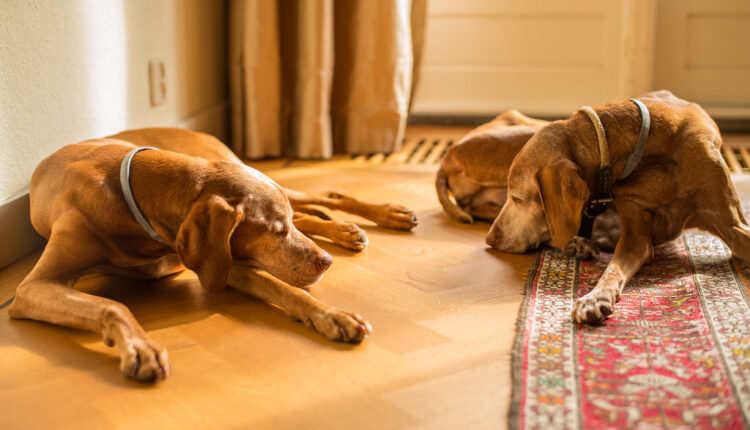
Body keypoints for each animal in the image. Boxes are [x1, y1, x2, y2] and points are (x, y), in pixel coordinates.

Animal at [7, 128, 418, 382]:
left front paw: (332, 315)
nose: (326, 262)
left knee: (326, 196)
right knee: (311, 211)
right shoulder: (32, 288)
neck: (132, 193)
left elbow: (288, 289)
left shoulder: (218, 259)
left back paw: (380, 218)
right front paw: (141, 347)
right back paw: (345, 231)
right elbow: (113, 306)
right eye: (275, 231)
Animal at [482, 91, 750, 326]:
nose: (490, 238)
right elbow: (612, 269)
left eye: (517, 197)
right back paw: (576, 245)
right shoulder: (636, 237)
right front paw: (594, 298)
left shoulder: (732, 224)